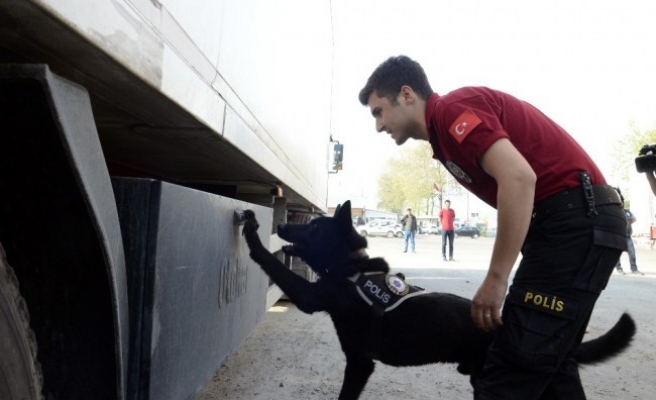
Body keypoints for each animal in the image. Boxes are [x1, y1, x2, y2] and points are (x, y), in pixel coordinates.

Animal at [241, 202, 636, 398]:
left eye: (313, 227)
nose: (282, 226)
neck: (351, 269)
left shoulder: (354, 356)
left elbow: (271, 263)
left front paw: (252, 234)